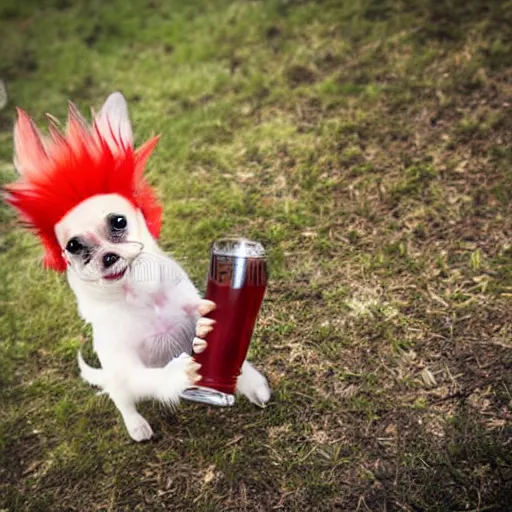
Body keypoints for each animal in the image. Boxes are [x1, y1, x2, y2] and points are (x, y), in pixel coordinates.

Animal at [6, 91, 270, 440]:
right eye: (73, 246)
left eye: (119, 222)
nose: (108, 256)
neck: (142, 296)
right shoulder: (128, 368)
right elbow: (151, 378)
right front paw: (180, 374)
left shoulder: (194, 309)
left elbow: (220, 333)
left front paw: (240, 371)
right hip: (117, 382)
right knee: (121, 398)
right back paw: (137, 425)